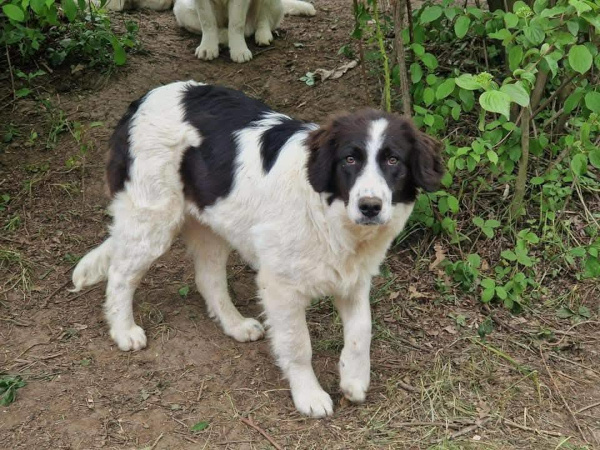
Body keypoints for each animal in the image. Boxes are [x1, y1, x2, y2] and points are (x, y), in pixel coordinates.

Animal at [72, 81, 443, 417]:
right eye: (350, 159)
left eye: (393, 161)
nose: (370, 207)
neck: (328, 214)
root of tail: (141, 101)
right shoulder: (280, 286)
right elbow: (298, 344)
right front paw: (309, 395)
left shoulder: (352, 279)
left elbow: (361, 331)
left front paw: (353, 378)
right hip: (152, 219)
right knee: (121, 275)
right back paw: (124, 331)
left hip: (211, 222)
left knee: (208, 279)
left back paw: (235, 325)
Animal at [185, 0, 315, 63]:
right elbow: (207, 20)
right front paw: (207, 48)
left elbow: (236, 22)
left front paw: (239, 50)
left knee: (262, 19)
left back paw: (262, 35)